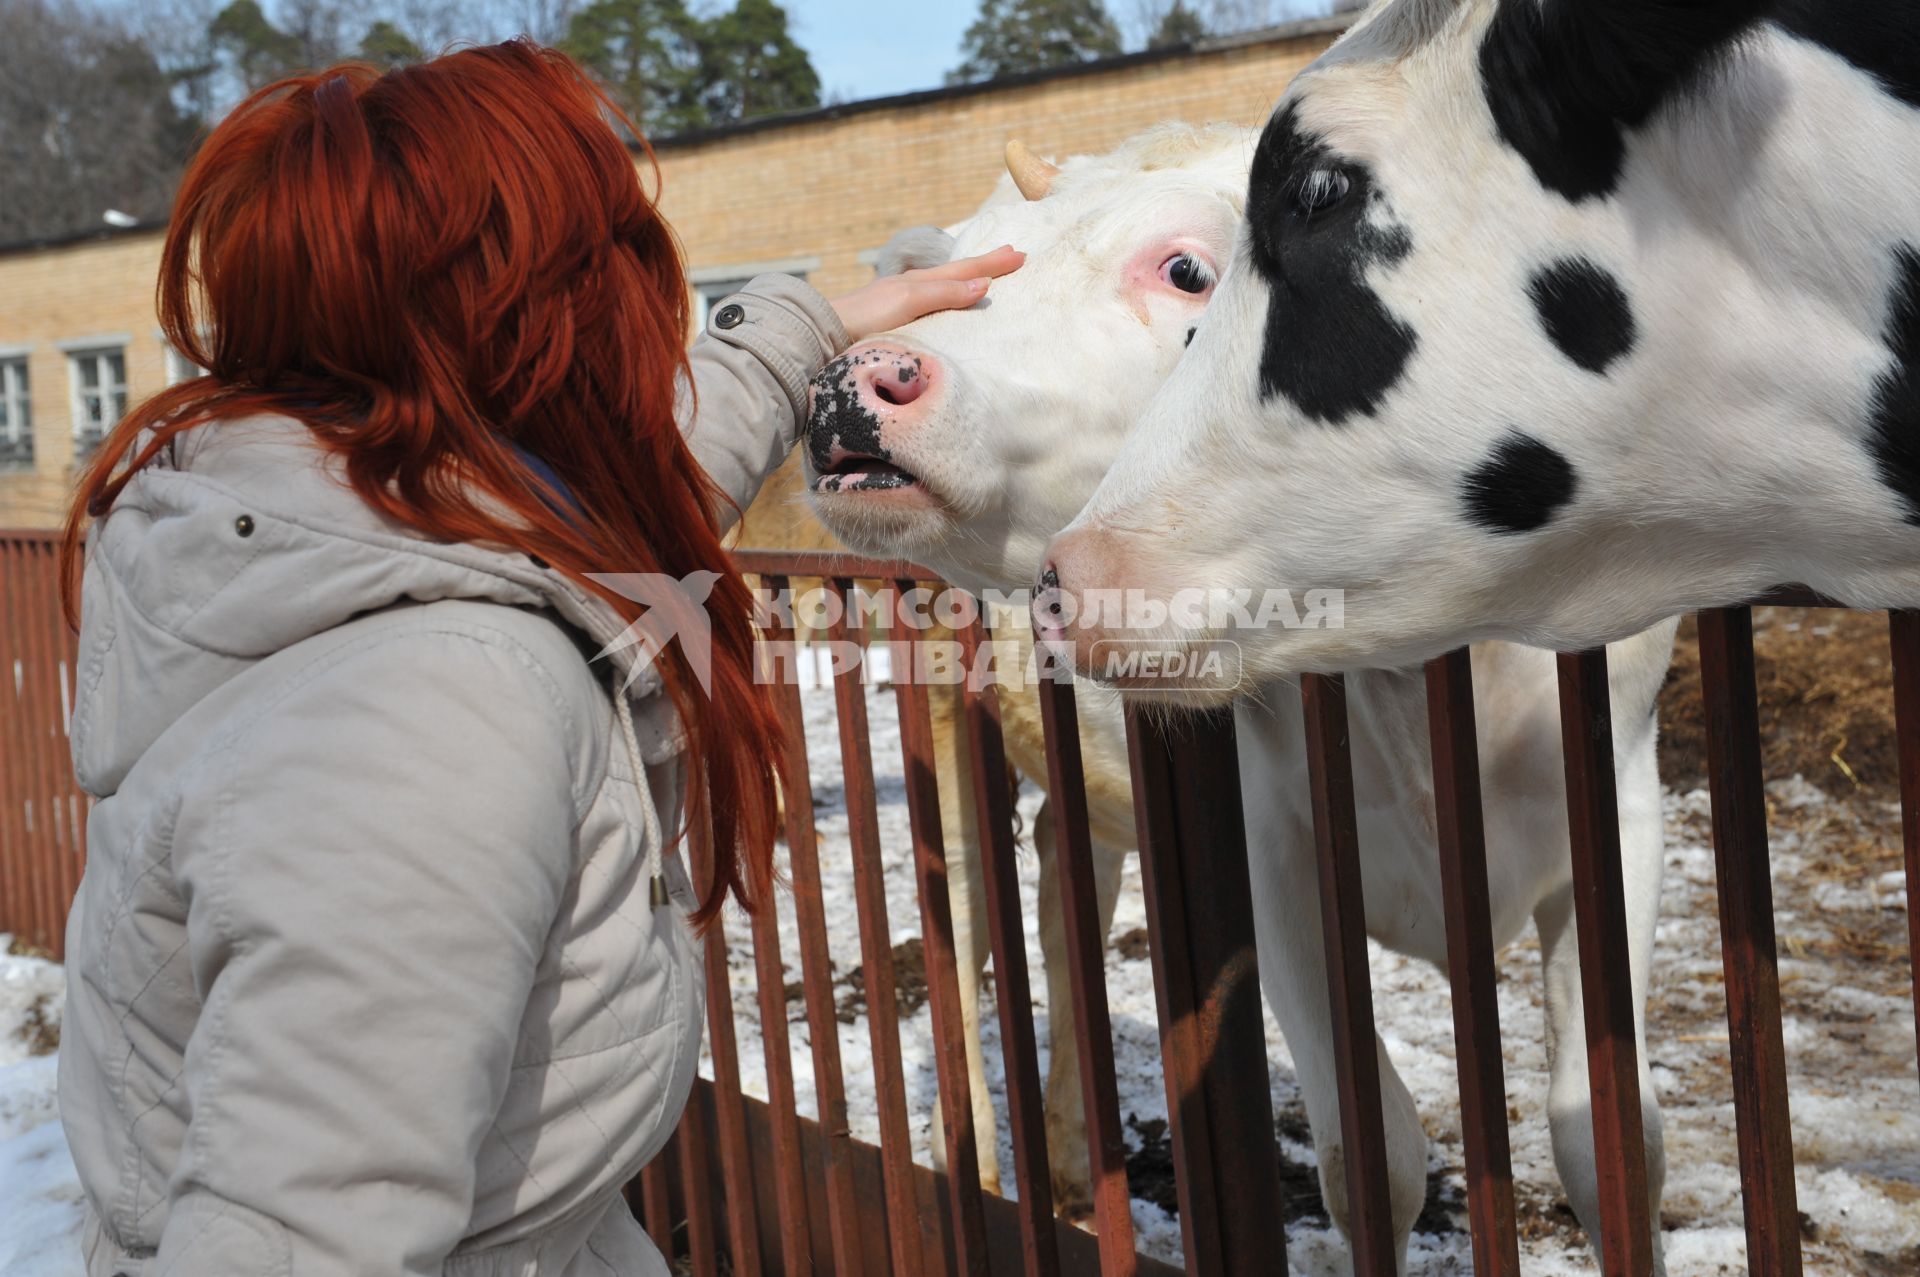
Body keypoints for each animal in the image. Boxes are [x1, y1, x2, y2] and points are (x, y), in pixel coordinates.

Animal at [810, 126, 1681, 1267]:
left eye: (1187, 268)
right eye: (965, 269)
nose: (853, 380)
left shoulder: (1617, 808)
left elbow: (1609, 1143)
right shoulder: (1278, 856)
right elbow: (1372, 1159)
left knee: (1065, 881)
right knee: (958, 915)